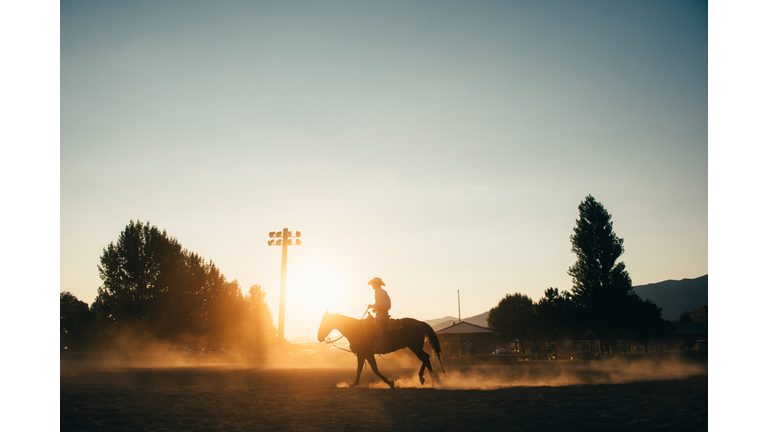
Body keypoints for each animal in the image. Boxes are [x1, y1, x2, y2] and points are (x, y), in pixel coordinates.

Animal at [316, 310, 444, 388]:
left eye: (324, 322)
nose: (319, 337)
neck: (356, 329)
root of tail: (420, 323)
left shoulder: (367, 353)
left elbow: (375, 369)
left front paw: (390, 382)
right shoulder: (361, 354)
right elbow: (359, 369)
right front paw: (354, 383)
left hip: (415, 347)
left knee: (426, 358)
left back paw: (430, 380)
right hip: (415, 347)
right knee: (426, 358)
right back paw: (428, 380)